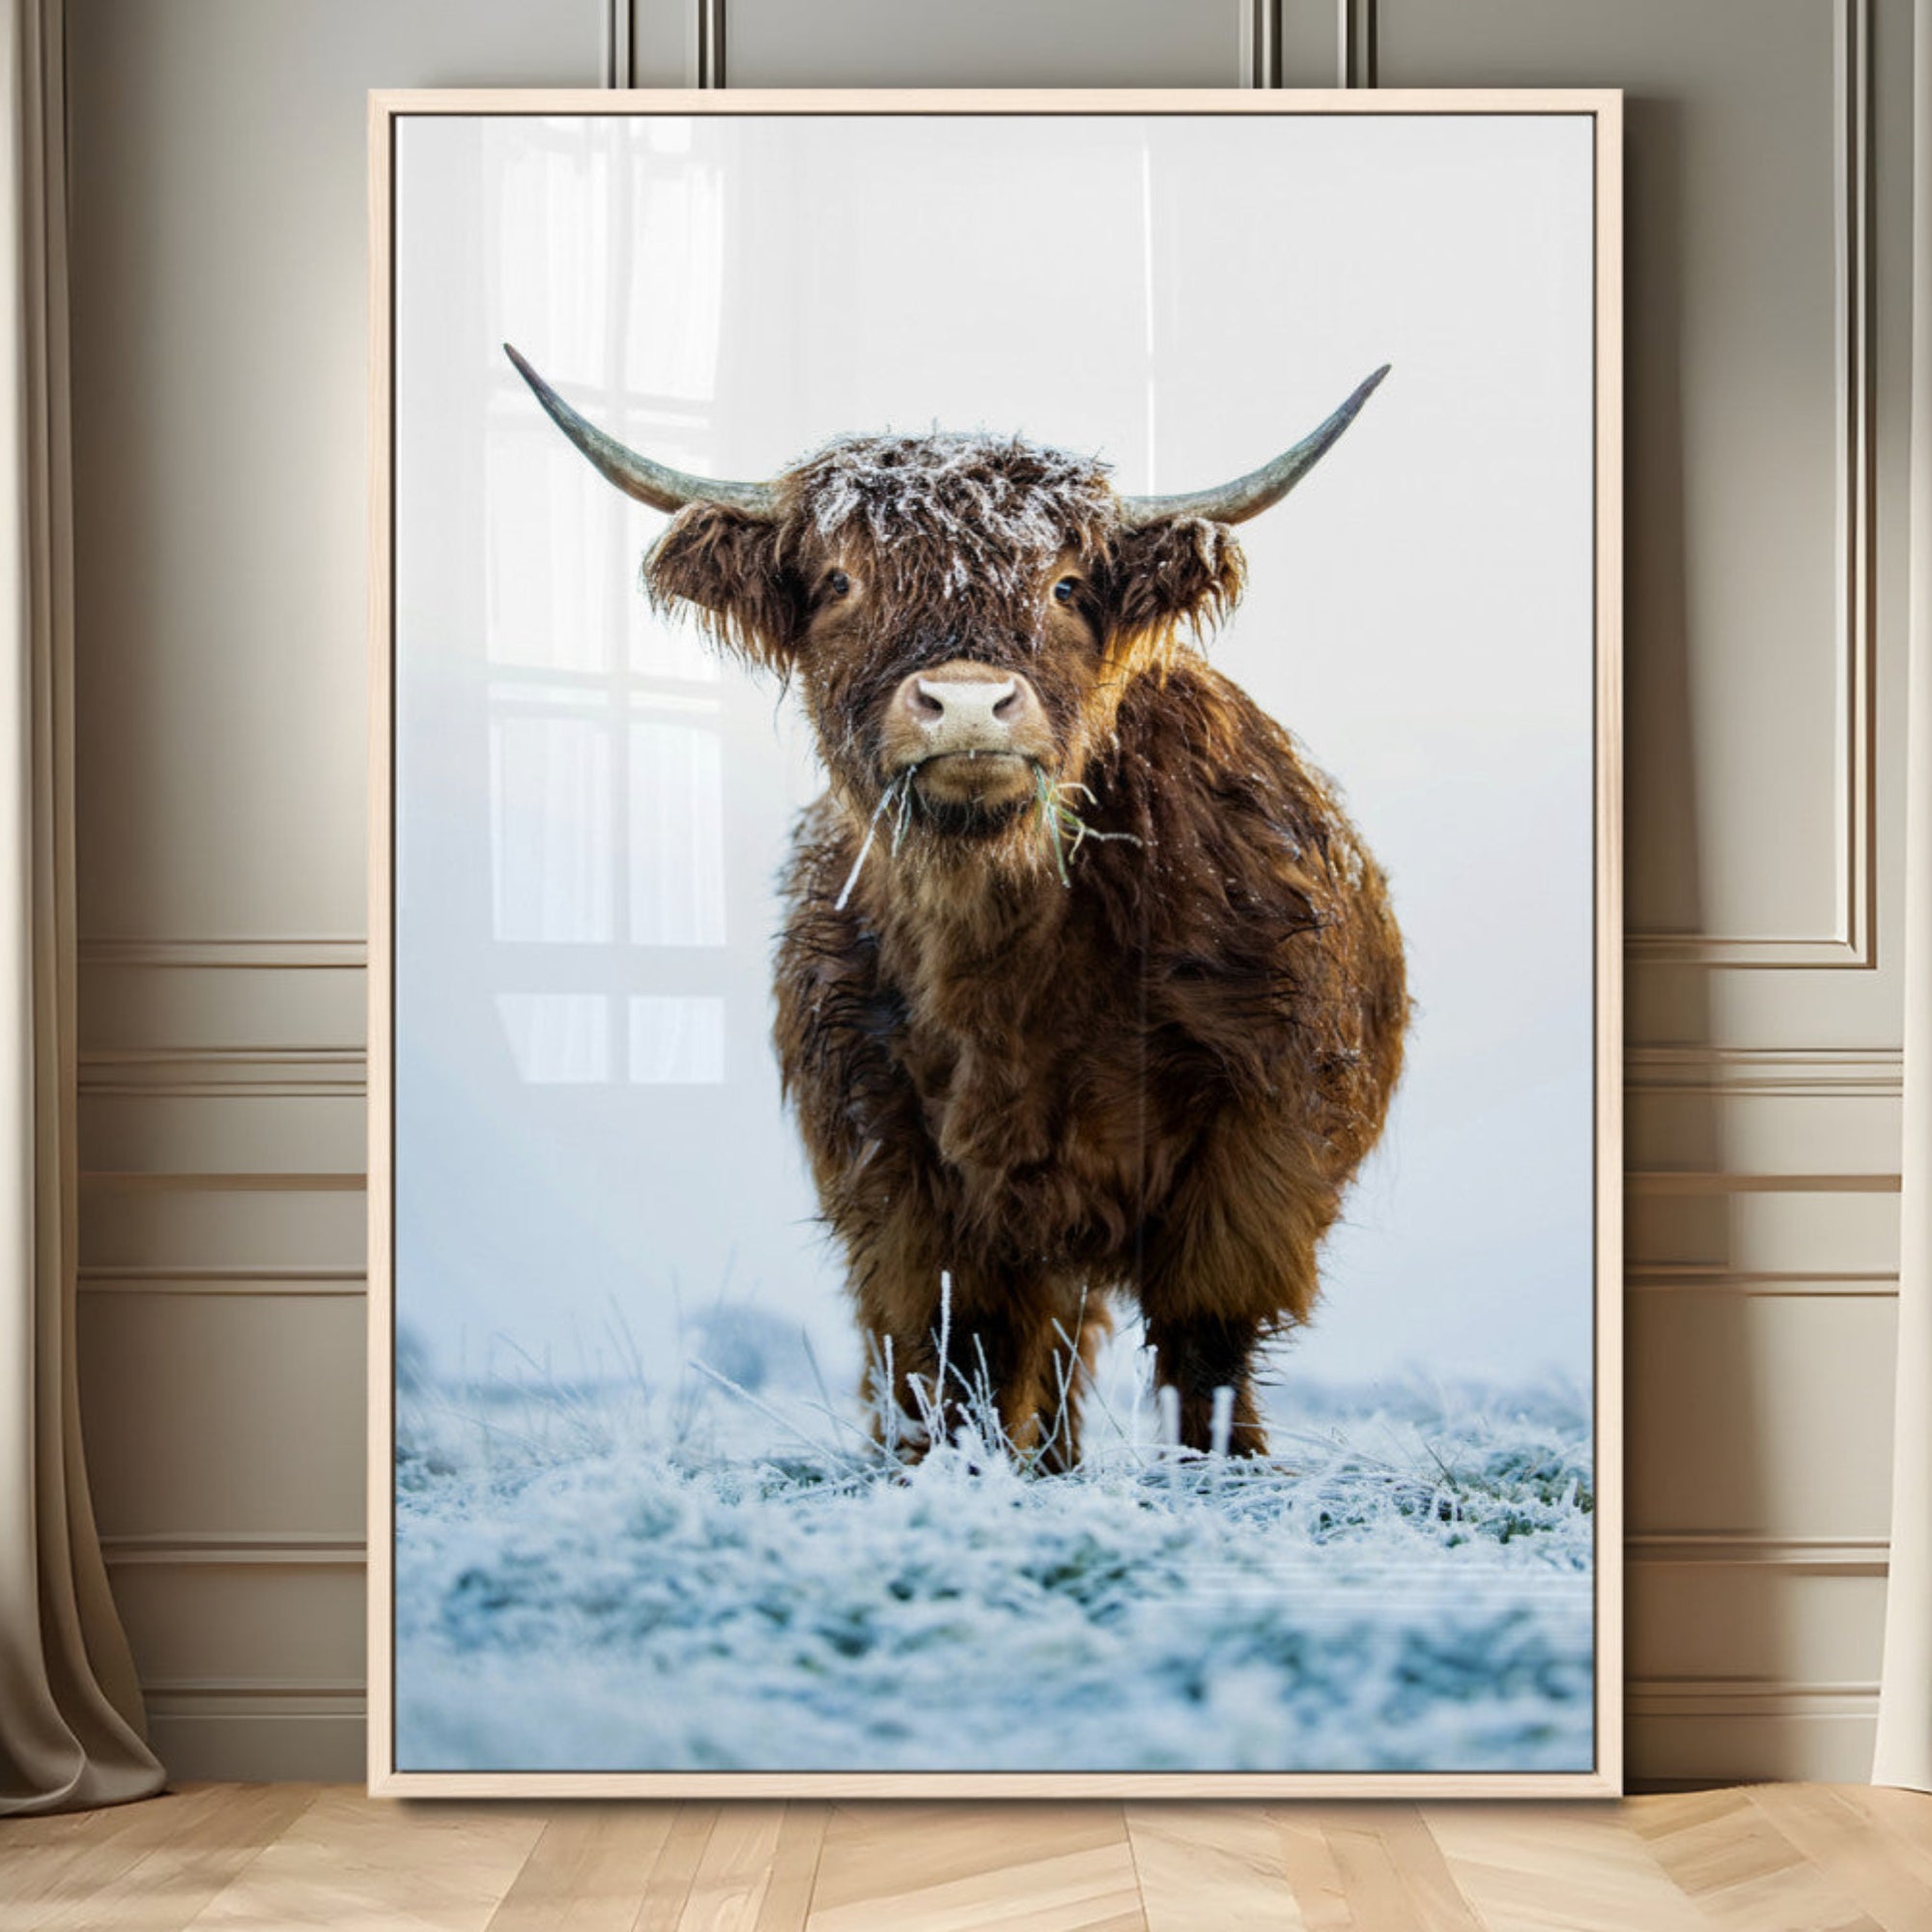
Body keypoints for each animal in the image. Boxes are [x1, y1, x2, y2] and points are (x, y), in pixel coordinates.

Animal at [507, 344, 1408, 1464]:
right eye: (841, 579)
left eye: (1066, 583)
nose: (969, 704)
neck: (1005, 966)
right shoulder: (893, 1160)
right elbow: (957, 1347)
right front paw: (953, 1477)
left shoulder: (1259, 1135)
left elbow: (1203, 1342)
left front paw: (1213, 1477)